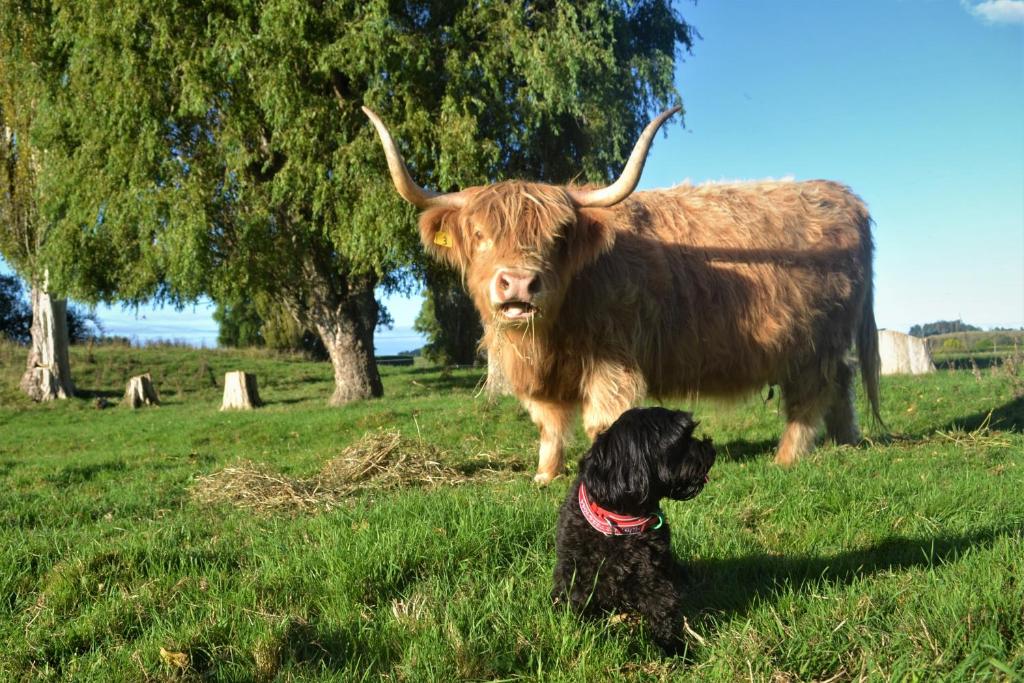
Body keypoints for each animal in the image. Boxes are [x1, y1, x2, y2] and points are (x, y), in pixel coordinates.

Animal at [364, 104, 884, 483]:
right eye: (478, 234)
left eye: (558, 237)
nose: (519, 284)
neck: (547, 337)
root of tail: (846, 197)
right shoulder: (546, 379)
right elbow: (549, 426)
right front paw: (544, 476)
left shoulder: (611, 359)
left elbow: (602, 420)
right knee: (842, 385)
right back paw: (847, 441)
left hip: (814, 344)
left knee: (811, 397)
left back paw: (788, 457)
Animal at [552, 409, 712, 655]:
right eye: (680, 441)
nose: (710, 448)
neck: (620, 522)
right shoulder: (575, 573)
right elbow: (576, 605)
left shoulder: (653, 573)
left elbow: (662, 608)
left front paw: (673, 648)